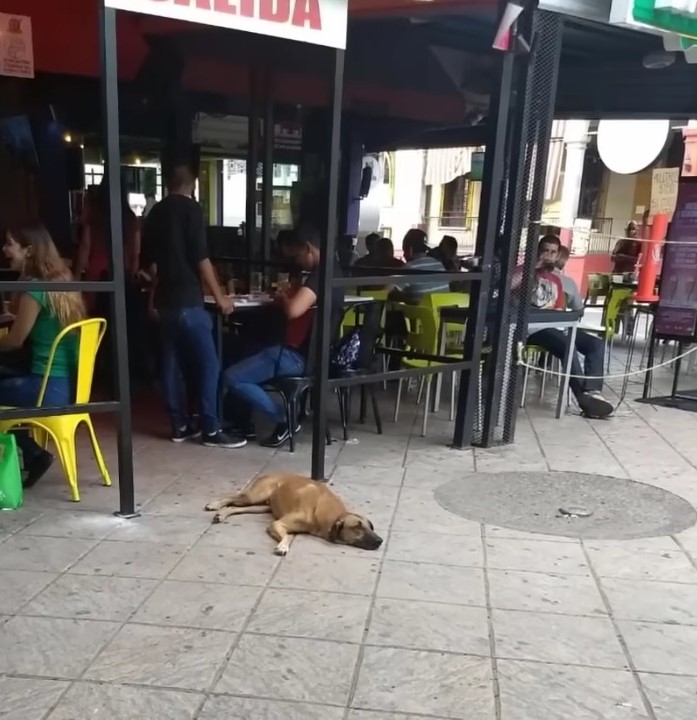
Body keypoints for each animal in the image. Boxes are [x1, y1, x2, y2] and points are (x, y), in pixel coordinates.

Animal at [204, 472, 384, 556]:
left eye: (370, 527)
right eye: (357, 527)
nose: (380, 540)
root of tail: (270, 473)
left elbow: (289, 535)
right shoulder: (277, 523)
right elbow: (287, 535)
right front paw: (283, 545)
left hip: (262, 507)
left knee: (235, 507)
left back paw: (222, 514)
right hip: (254, 496)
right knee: (232, 497)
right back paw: (214, 504)